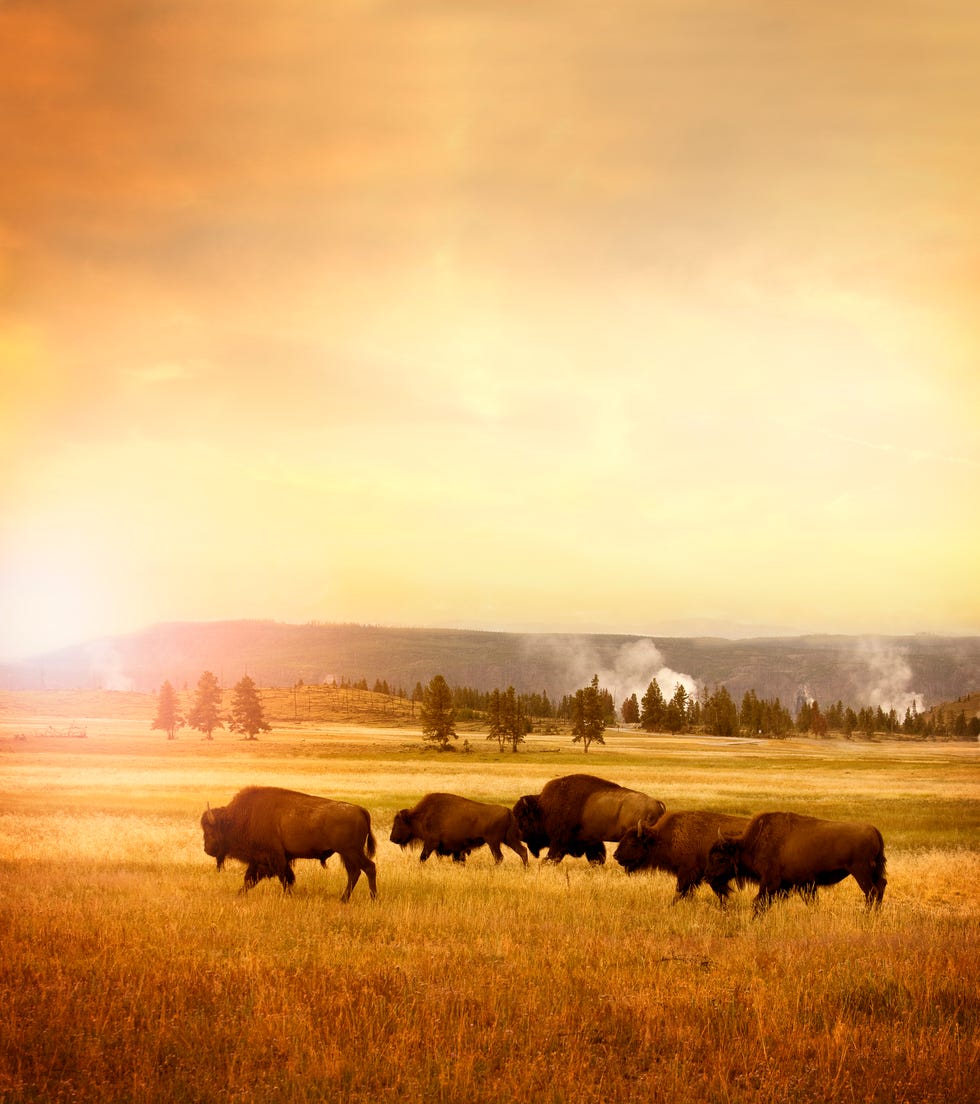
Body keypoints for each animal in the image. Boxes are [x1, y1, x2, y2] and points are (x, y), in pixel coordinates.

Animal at [200, 781, 377, 900]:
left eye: (210, 829)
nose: (207, 849)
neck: (239, 818)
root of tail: (360, 809)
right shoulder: (261, 860)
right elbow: (250, 879)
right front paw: (239, 894)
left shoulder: (274, 857)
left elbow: (284, 878)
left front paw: (288, 896)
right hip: (346, 854)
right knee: (354, 873)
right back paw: (343, 899)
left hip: (352, 852)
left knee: (369, 868)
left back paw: (373, 898)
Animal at [390, 790, 527, 865]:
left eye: (398, 823)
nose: (392, 838)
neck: (422, 815)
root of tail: (508, 811)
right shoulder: (456, 850)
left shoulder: (430, 843)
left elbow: (422, 857)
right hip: (508, 839)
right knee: (522, 851)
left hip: (493, 842)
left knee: (499, 857)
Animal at [512, 772, 666, 865]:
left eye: (523, 818)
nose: (519, 835)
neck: (543, 808)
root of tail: (656, 803)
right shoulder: (592, 841)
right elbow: (597, 857)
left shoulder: (559, 841)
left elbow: (552, 857)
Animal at [706, 812, 887, 914]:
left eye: (720, 857)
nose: (708, 877)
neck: (752, 844)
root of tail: (874, 830)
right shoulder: (803, 885)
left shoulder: (771, 883)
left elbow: (759, 902)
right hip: (873, 871)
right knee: (881, 886)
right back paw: (876, 914)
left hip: (860, 871)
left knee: (871, 891)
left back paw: (866, 915)